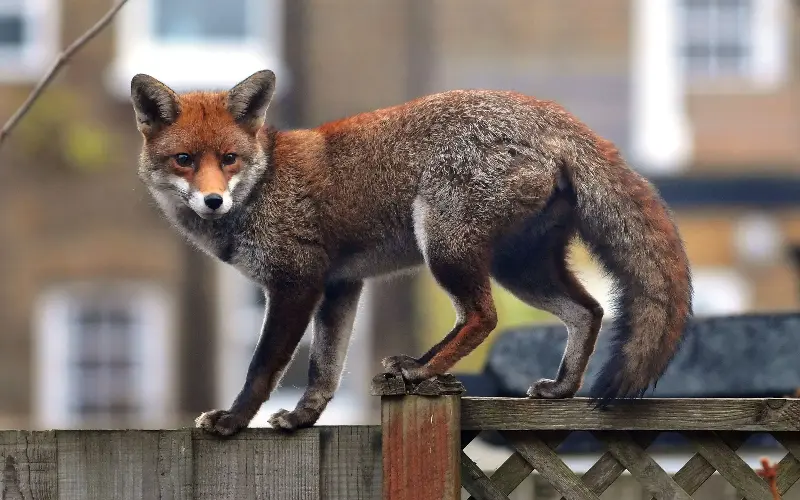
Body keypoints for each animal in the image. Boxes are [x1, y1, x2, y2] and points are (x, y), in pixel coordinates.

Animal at [130, 69, 692, 437]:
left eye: (228, 159)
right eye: (185, 160)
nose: (213, 200)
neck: (263, 186)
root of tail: (553, 114)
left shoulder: (297, 282)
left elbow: (263, 367)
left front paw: (232, 421)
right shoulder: (340, 285)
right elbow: (324, 371)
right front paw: (304, 418)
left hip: (445, 244)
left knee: (483, 317)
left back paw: (422, 372)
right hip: (517, 267)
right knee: (588, 311)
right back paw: (559, 387)